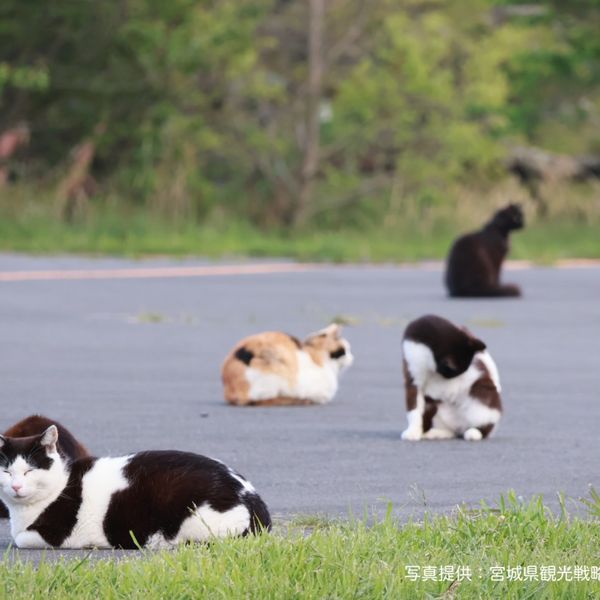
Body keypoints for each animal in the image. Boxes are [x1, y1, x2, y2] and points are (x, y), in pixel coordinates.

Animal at [0, 424, 270, 548]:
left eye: (29, 470)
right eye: (6, 471)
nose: (16, 486)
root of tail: (252, 498)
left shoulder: (54, 535)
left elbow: (20, 538)